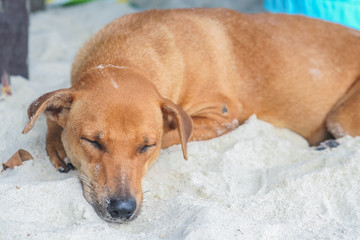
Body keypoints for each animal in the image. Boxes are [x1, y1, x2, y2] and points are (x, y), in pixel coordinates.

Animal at [22, 8, 360, 223]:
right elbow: (49, 113)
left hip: (342, 117)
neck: (124, 55)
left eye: (147, 146)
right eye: (92, 141)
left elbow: (174, 134)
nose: (122, 209)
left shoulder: (223, 115)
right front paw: (56, 143)